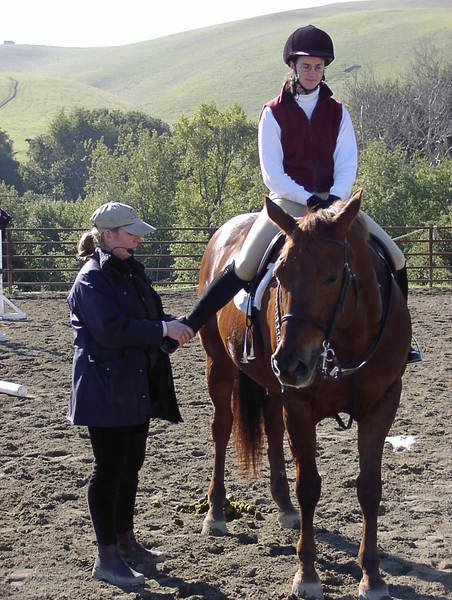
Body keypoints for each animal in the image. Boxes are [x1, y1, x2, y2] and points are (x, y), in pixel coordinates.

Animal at [197, 189, 411, 599]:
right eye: (279, 275)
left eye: (332, 276)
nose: (290, 362)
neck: (346, 340)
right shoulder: (300, 406)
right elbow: (309, 486)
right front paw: (307, 574)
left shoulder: (382, 404)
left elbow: (370, 489)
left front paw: (372, 577)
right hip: (220, 366)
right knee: (221, 429)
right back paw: (215, 512)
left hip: (275, 387)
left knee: (272, 428)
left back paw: (283, 506)